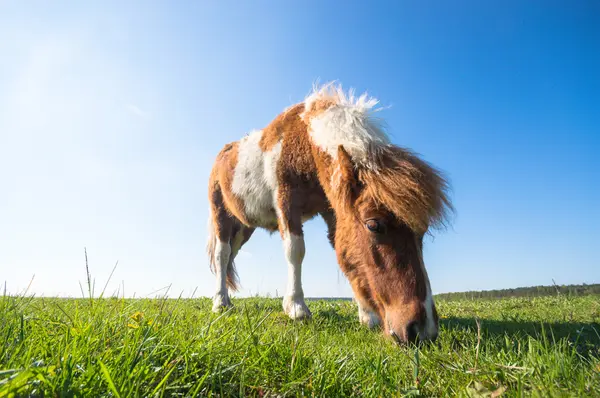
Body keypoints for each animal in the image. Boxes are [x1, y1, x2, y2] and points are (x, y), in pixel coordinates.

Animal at [205, 82, 450, 344]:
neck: (303, 142)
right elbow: (295, 251)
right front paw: (296, 307)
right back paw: (220, 303)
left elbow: (343, 251)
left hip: (244, 227)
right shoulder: (286, 204)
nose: (422, 329)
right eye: (373, 224)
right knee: (222, 254)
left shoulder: (334, 210)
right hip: (221, 215)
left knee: (231, 255)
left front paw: (367, 315)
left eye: (422, 233)